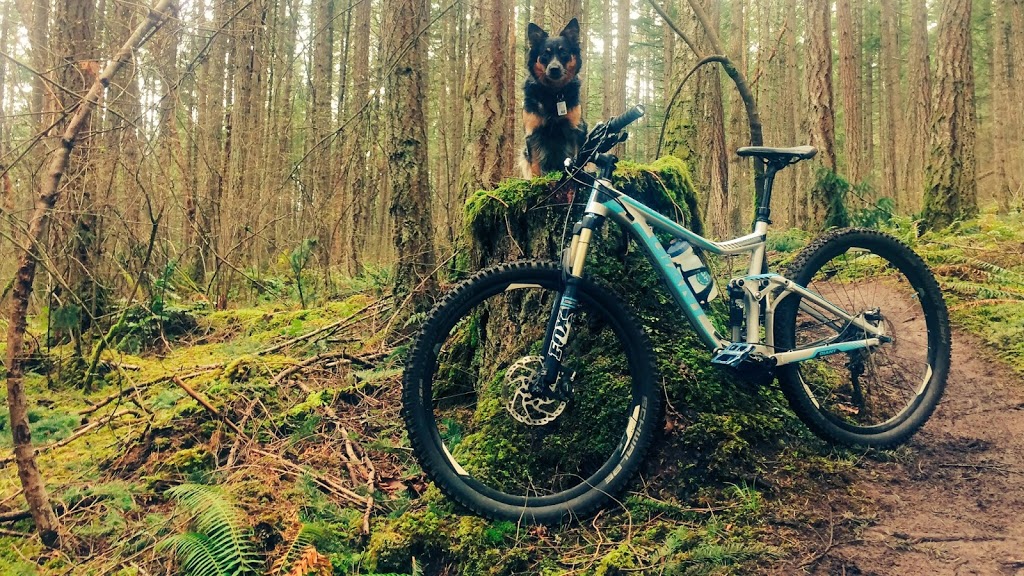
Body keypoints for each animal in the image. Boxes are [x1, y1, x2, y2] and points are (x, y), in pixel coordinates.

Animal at [524, 18, 589, 177]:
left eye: (563, 52)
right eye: (545, 54)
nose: (554, 69)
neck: (553, 94)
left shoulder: (575, 130)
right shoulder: (533, 134)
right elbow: (535, 166)